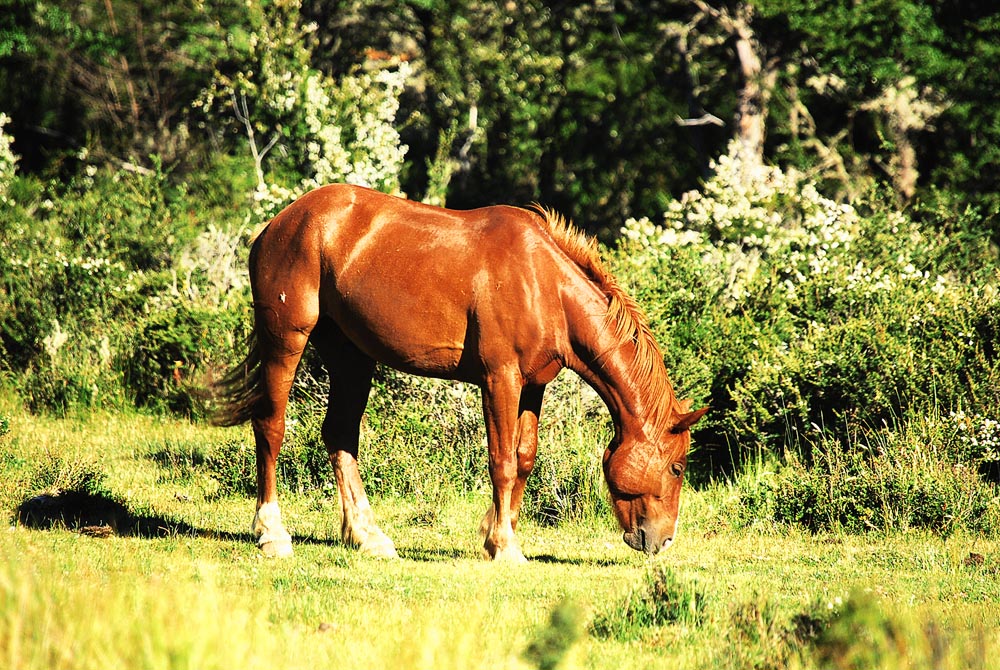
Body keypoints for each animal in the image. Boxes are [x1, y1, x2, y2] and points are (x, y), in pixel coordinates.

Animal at [215, 182, 708, 560]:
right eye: (677, 468)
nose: (663, 541)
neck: (543, 283)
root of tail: (276, 224)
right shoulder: (499, 379)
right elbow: (501, 462)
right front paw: (504, 546)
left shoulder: (532, 387)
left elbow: (523, 458)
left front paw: (497, 534)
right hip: (286, 339)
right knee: (271, 426)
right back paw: (272, 534)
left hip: (350, 356)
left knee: (339, 435)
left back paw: (367, 537)